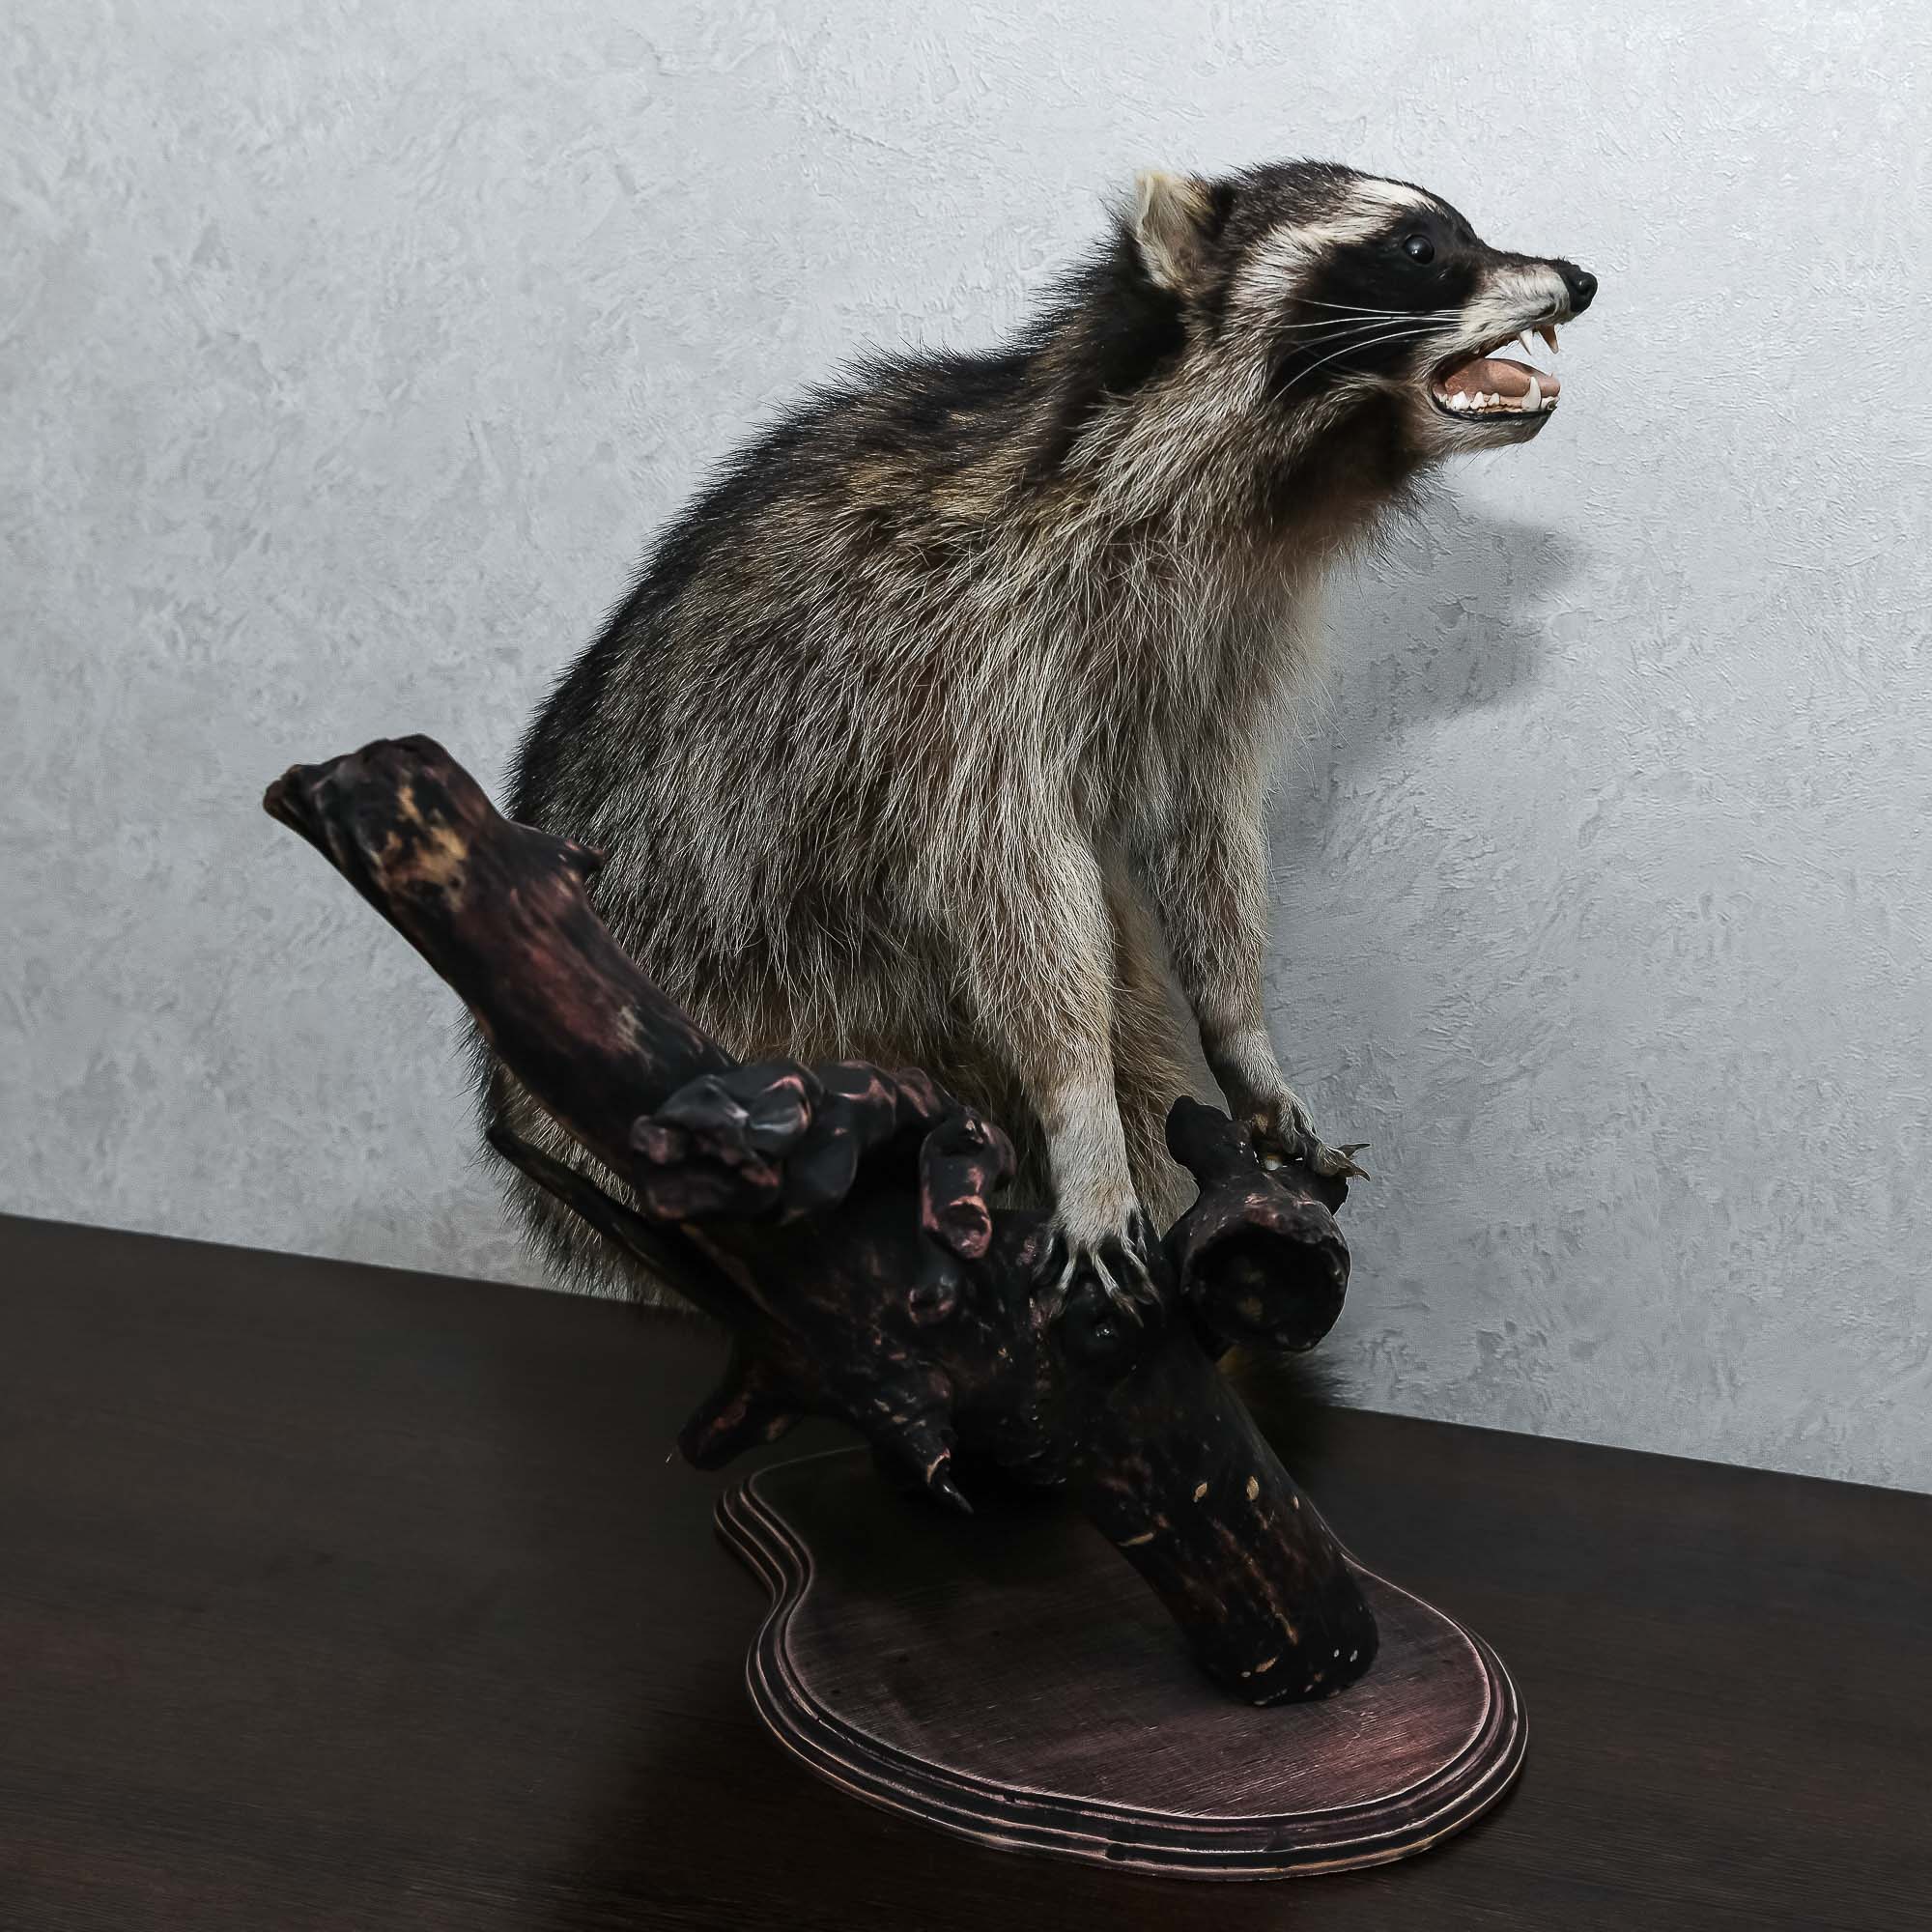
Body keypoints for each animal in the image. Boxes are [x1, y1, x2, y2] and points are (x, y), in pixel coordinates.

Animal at [483, 159, 1595, 1317]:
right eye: (1419, 249)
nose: (1578, 276)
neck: (1259, 489)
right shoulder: (965, 656)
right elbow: (1013, 885)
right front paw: (1081, 1122)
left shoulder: (1224, 640)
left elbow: (1205, 828)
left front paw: (1243, 1035)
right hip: (707, 983)